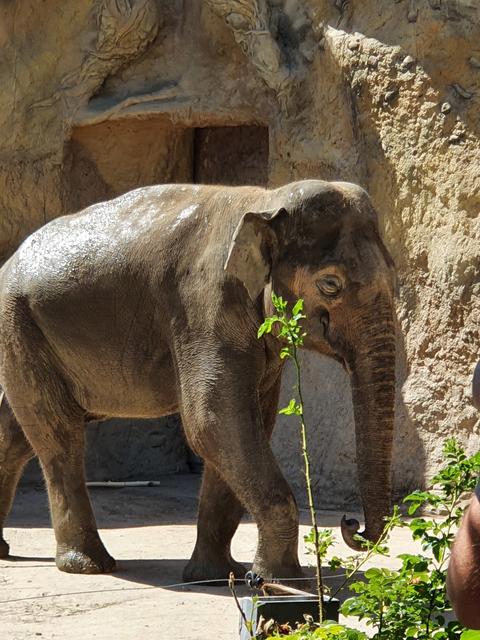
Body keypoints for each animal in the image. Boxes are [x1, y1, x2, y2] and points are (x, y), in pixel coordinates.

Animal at [0, 179, 396, 580]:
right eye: (330, 284)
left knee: (15, 433)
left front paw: (217, 575)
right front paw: (274, 580)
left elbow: (247, 424)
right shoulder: (205, 306)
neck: (266, 201)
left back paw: (6, 551)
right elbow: (214, 422)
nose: (351, 523)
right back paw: (89, 565)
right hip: (18, 325)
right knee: (58, 434)